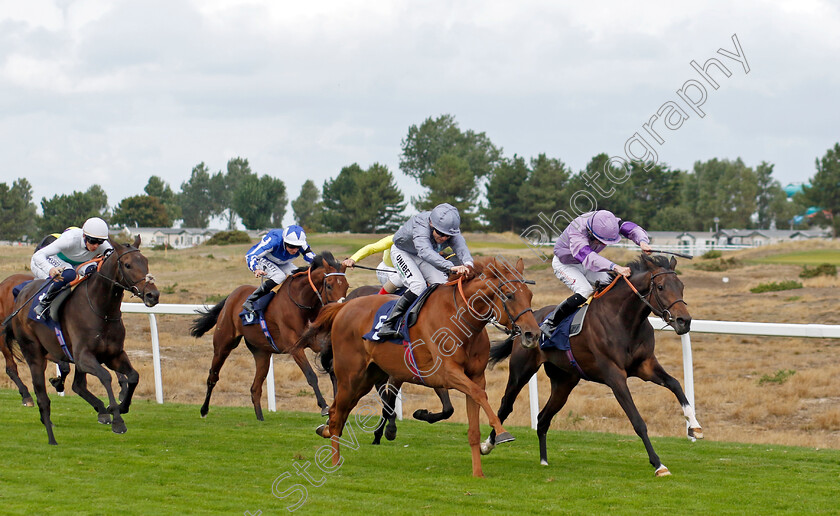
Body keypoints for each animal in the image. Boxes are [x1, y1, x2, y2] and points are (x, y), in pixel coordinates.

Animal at [3, 237, 159, 444]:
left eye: (146, 262)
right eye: (128, 265)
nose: (153, 295)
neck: (102, 311)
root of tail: (20, 293)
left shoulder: (114, 355)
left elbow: (133, 376)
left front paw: (121, 406)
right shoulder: (84, 356)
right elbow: (106, 376)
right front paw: (117, 419)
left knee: (77, 385)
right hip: (33, 352)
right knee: (33, 383)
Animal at [190, 252, 348, 422]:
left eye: (346, 286)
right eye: (329, 285)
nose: (340, 309)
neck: (302, 304)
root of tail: (232, 295)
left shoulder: (319, 343)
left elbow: (333, 372)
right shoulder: (295, 347)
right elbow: (311, 375)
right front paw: (324, 406)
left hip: (262, 354)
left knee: (255, 388)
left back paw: (260, 418)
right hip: (223, 344)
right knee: (213, 376)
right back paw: (204, 410)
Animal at [298, 256, 540, 478]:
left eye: (529, 295)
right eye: (509, 295)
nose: (533, 334)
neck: (461, 319)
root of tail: (343, 306)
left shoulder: (475, 376)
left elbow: (473, 420)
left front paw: (478, 472)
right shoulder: (448, 373)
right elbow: (479, 394)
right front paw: (502, 433)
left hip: (368, 377)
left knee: (338, 412)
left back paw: (327, 434)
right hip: (350, 376)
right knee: (337, 414)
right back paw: (334, 463)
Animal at [480, 254, 704, 476]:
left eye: (681, 285)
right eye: (660, 287)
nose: (684, 321)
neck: (623, 320)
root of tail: (526, 323)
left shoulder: (645, 365)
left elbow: (675, 384)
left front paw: (695, 426)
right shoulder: (614, 375)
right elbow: (637, 421)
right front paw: (658, 464)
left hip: (564, 382)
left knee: (543, 418)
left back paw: (543, 460)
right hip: (522, 371)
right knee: (506, 406)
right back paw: (488, 444)